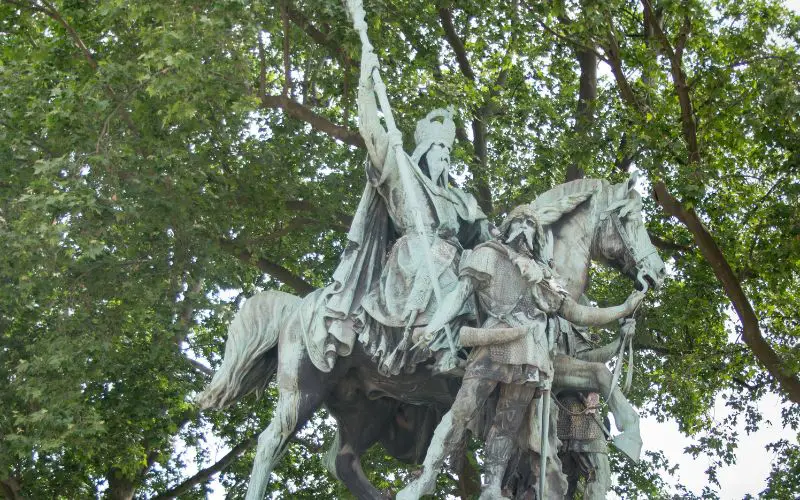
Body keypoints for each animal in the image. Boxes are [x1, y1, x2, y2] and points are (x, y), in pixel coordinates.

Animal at [198, 174, 664, 498]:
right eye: (630, 219)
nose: (655, 273)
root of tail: (298, 305)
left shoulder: (544, 371)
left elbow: (593, 379)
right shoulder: (542, 364)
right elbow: (597, 379)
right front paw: (630, 435)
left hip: (365, 408)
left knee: (342, 462)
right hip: (304, 390)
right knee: (269, 443)